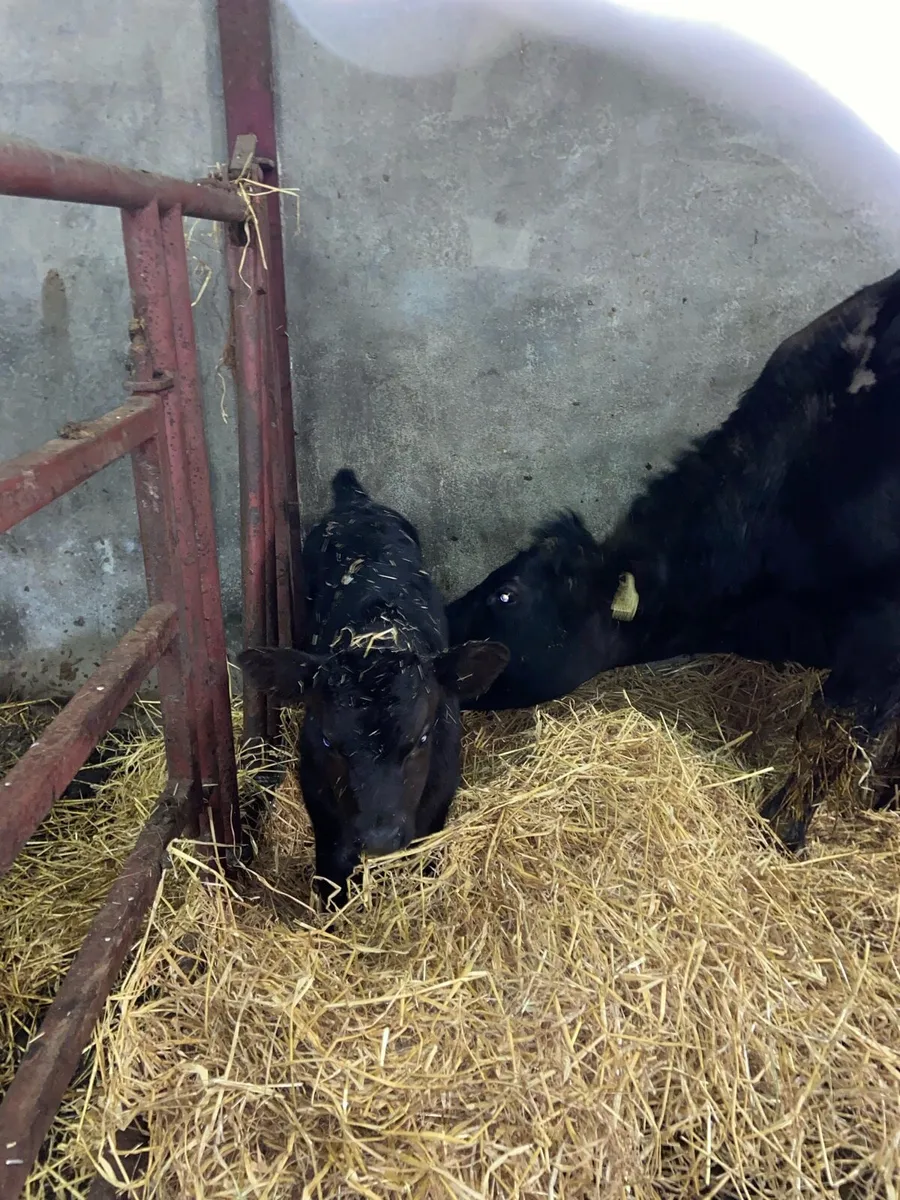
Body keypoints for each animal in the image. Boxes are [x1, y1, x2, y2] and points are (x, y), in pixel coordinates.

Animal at [238, 468, 509, 905]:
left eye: (421, 738)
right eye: (329, 741)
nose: (380, 838)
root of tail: (357, 502)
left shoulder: (440, 793)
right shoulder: (319, 796)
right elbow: (332, 867)